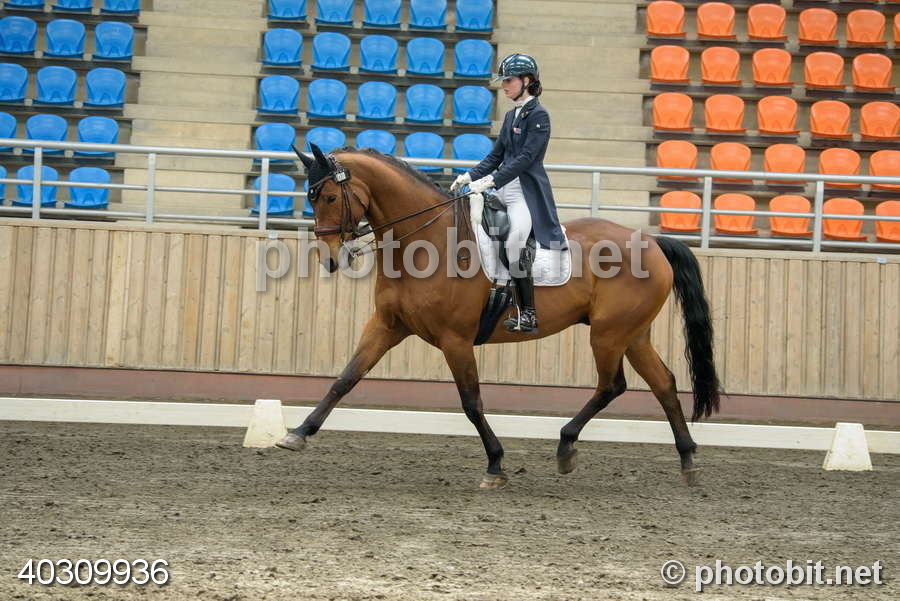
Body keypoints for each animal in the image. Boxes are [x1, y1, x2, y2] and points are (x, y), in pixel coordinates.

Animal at [276, 143, 722, 488]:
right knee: (663, 383)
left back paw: (566, 445)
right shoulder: (387, 326)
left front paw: (495, 464)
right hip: (632, 333)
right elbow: (346, 378)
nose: (331, 259)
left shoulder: (455, 340)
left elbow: (471, 402)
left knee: (613, 385)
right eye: (310, 197)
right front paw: (297, 434)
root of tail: (652, 241)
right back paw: (688, 462)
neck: (428, 241)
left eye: (329, 197)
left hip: (609, 334)